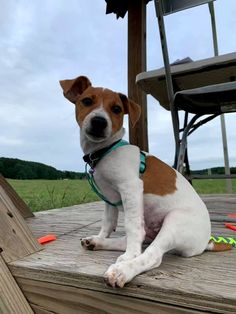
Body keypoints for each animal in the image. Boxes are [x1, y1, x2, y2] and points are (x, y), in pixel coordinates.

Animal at [60, 75, 231, 288]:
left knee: (152, 254)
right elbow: (108, 222)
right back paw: (97, 243)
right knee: (134, 240)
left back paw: (123, 269)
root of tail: (205, 241)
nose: (99, 122)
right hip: (154, 229)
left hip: (174, 221)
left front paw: (129, 256)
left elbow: (132, 226)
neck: (105, 151)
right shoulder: (109, 198)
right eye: (87, 101)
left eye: (116, 109)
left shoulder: (131, 188)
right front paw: (100, 237)